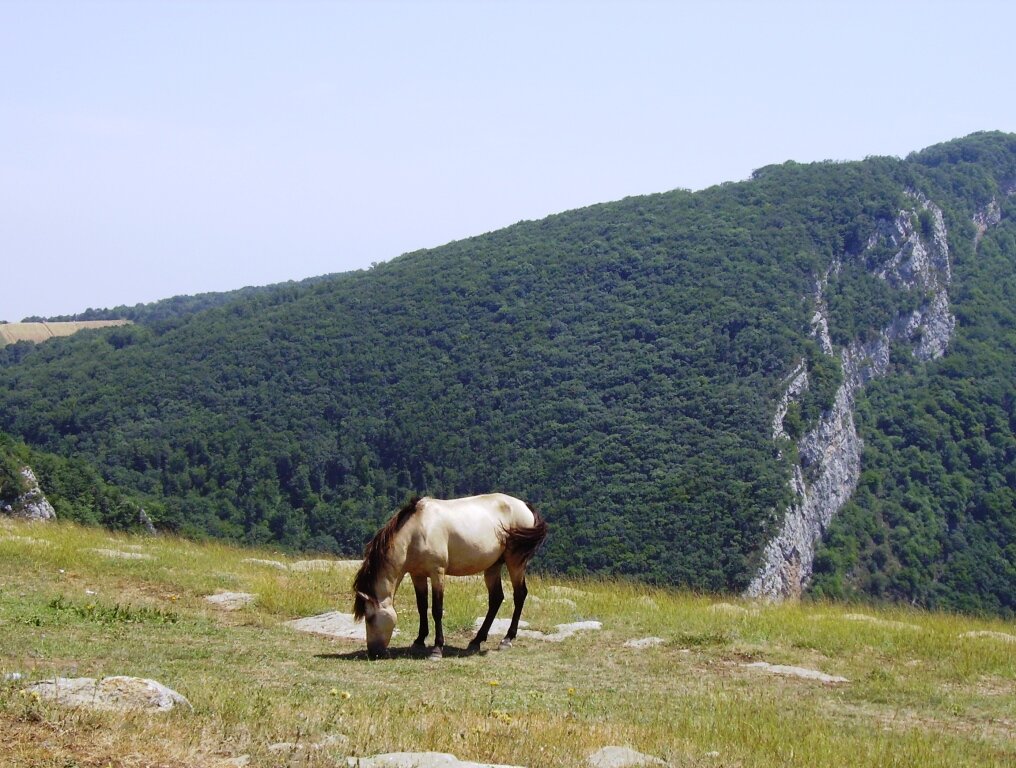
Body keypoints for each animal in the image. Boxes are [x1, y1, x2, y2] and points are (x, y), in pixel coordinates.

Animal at [355, 495, 548, 658]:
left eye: (369, 618)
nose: (373, 653)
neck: (417, 530)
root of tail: (524, 505)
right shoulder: (417, 575)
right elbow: (421, 607)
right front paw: (419, 641)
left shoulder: (437, 573)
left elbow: (437, 610)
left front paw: (437, 649)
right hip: (493, 566)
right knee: (496, 599)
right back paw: (476, 641)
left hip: (515, 562)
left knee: (519, 595)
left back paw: (507, 639)